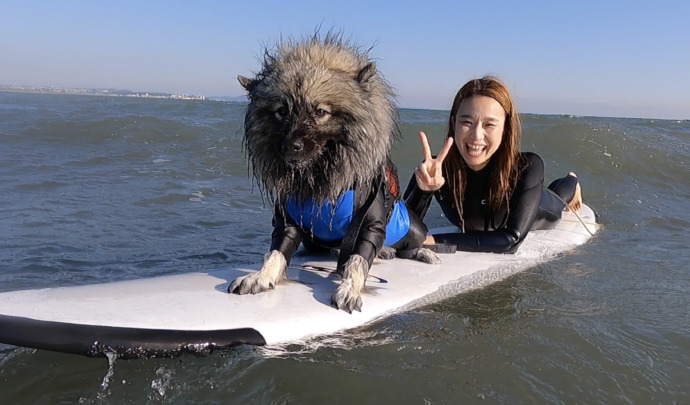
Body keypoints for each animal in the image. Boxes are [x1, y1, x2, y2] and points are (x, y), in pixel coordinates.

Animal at [228, 34, 438, 312]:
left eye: (320, 112)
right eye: (281, 111)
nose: (290, 146)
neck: (319, 176)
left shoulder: (369, 224)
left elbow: (357, 261)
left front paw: (349, 288)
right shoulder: (288, 220)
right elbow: (276, 252)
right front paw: (261, 277)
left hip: (411, 228)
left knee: (412, 245)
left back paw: (422, 252)